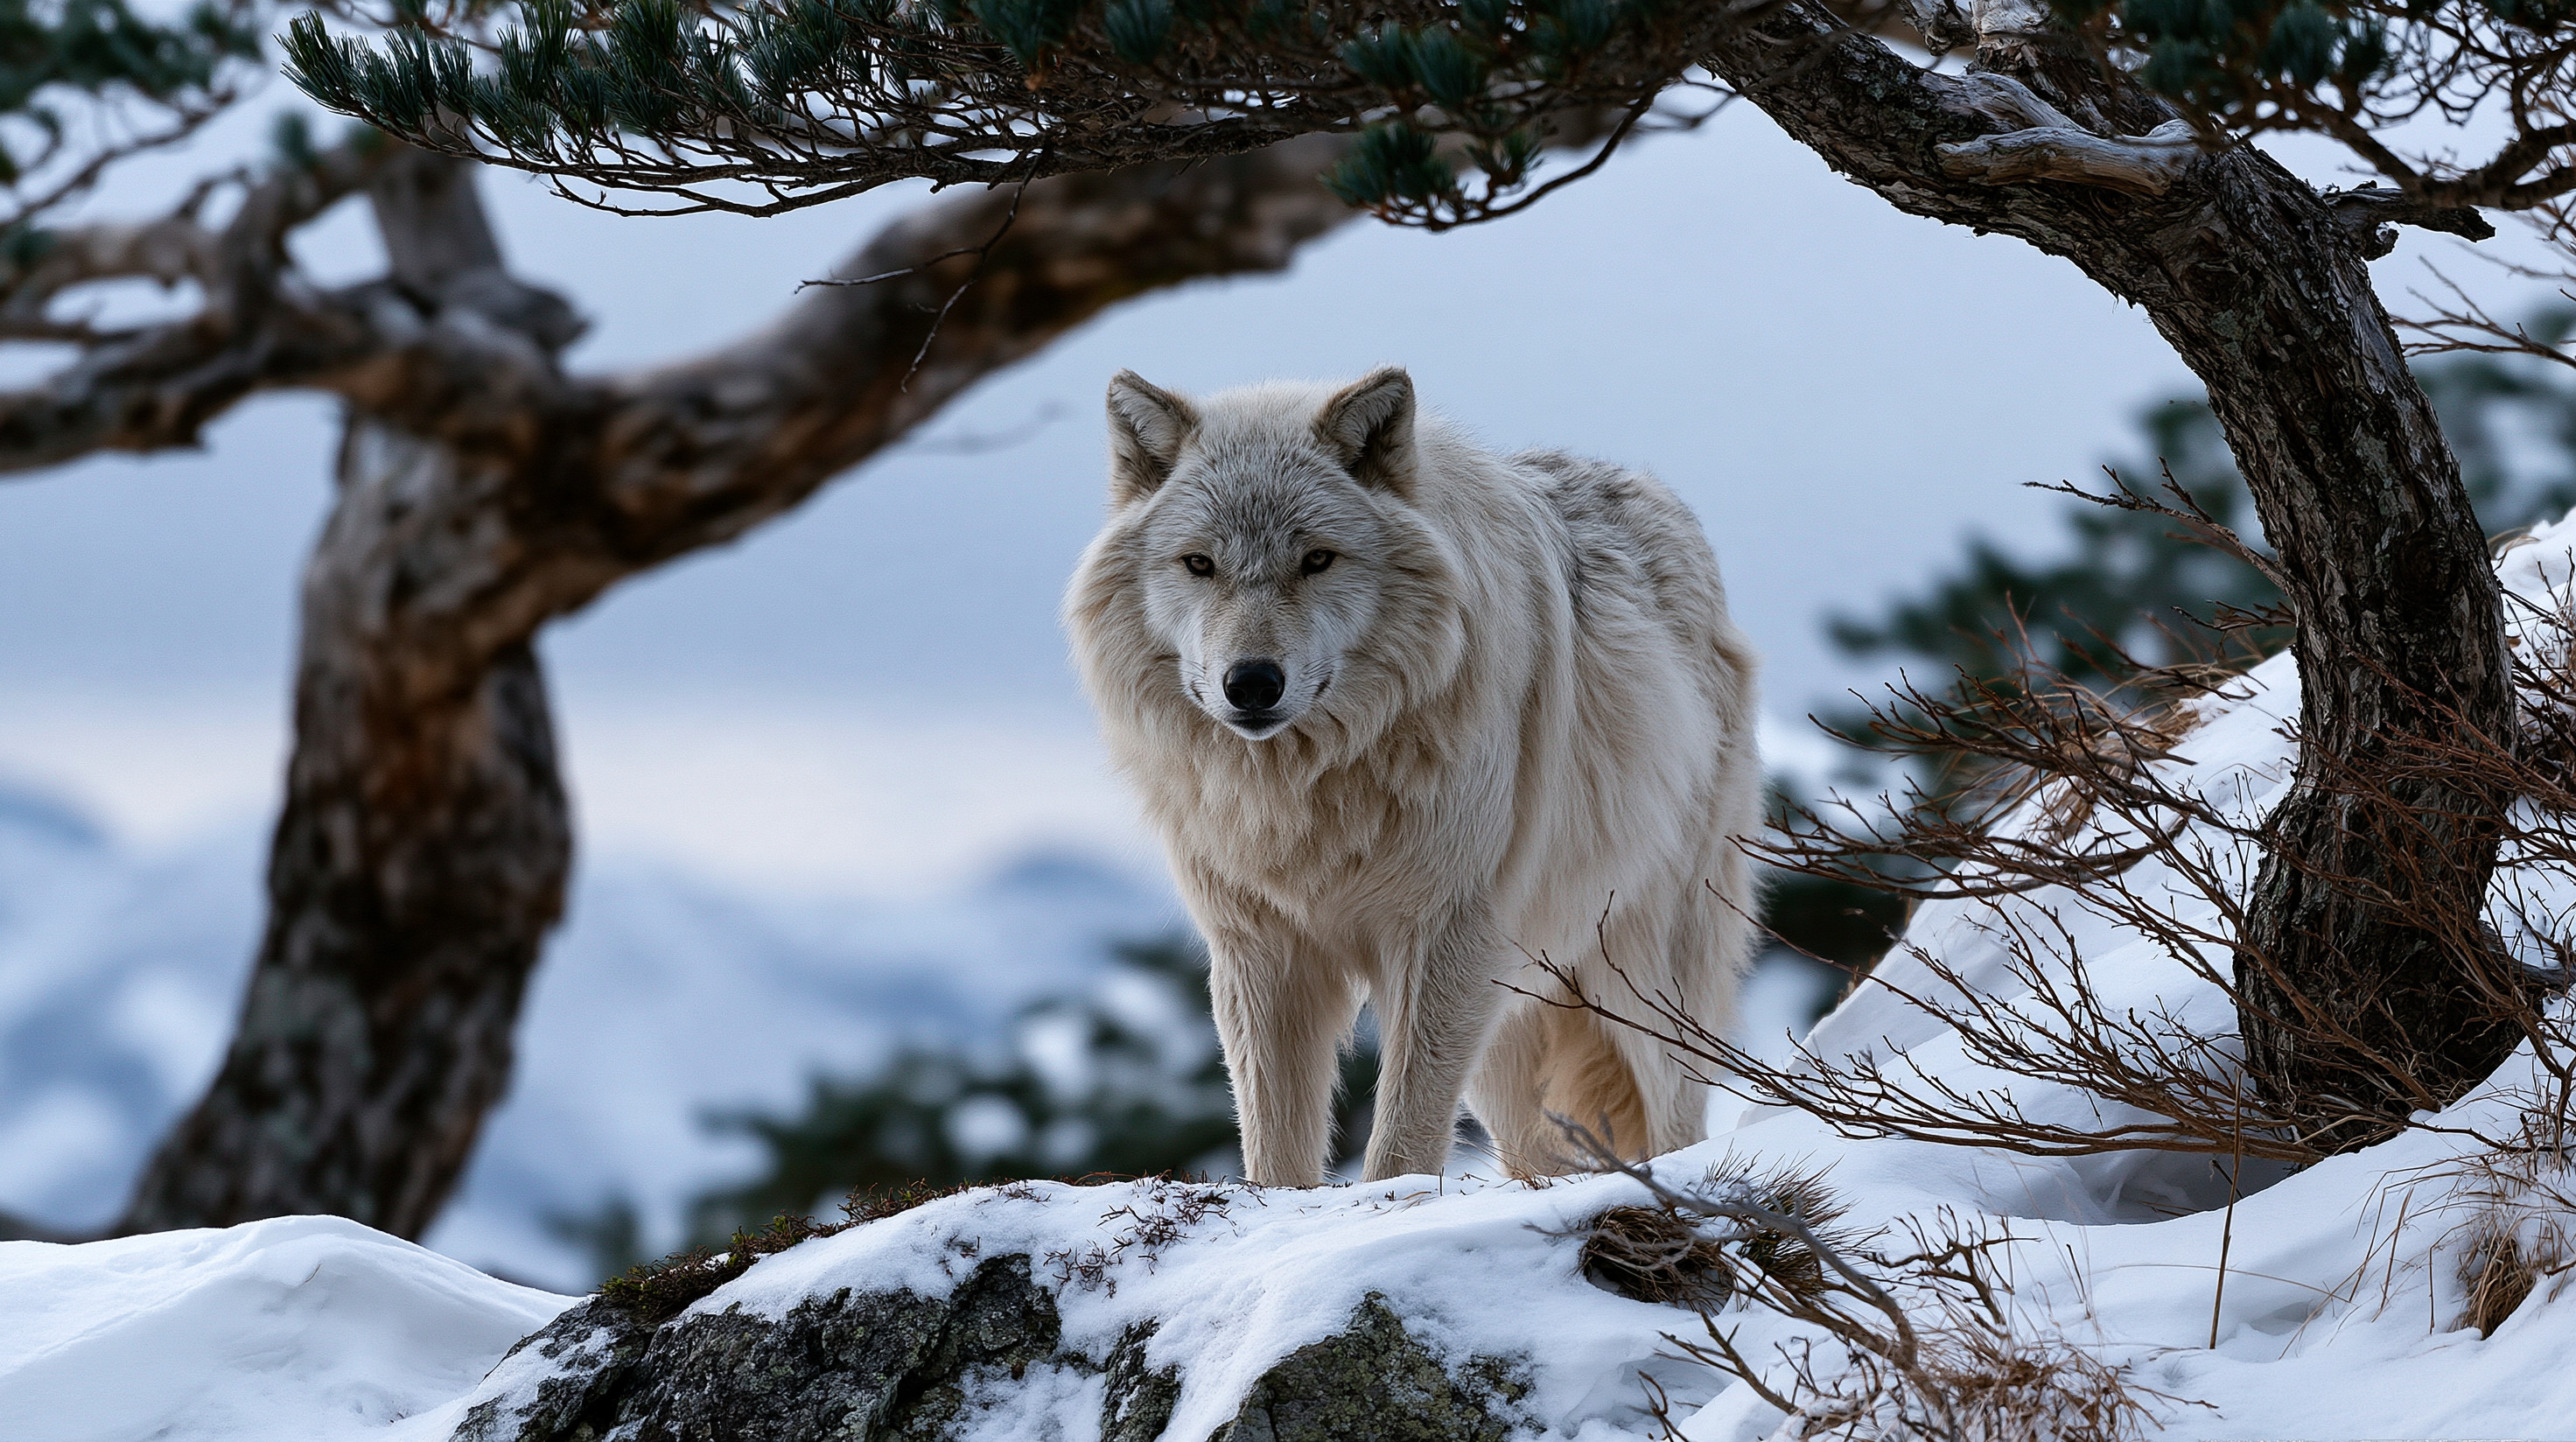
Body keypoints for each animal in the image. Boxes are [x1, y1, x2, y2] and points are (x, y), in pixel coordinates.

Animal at [1064, 366, 1763, 1187]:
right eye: (1199, 564)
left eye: (1317, 559)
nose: (1252, 683)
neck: (1310, 788)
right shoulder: (1260, 950)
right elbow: (1274, 1145)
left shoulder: (1445, 935)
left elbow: (1401, 1136)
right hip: (1512, 1027)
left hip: (1639, 979)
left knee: (1674, 1119)